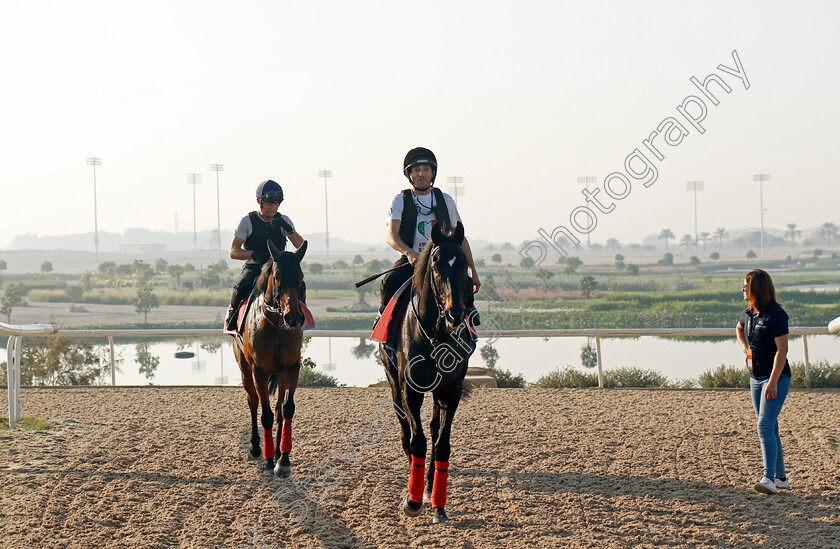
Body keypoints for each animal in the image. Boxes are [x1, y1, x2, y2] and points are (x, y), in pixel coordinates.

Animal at [231, 240, 306, 476]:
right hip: (245, 369)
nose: (293, 316)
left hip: (280, 374)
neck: (276, 326)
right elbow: (264, 413)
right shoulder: (259, 371)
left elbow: (286, 409)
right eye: (278, 276)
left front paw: (283, 460)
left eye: (300, 276)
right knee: (253, 402)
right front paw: (269, 460)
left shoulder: (292, 367)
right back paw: (256, 447)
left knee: (279, 408)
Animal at [382, 222, 476, 524]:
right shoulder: (411, 389)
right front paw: (411, 501)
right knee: (404, 423)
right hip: (393, 380)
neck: (437, 335)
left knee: (434, 430)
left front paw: (437, 504)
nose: (455, 314)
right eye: (436, 264)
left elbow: (441, 442)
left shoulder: (450, 389)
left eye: (464, 265)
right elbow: (418, 441)